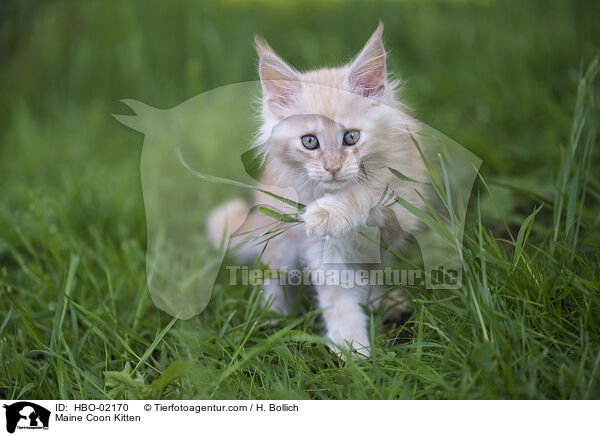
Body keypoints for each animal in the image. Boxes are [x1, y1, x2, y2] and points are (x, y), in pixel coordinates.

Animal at [209, 23, 424, 358]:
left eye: (351, 137)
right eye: (310, 142)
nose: (333, 168)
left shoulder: (403, 196)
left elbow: (367, 192)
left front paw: (328, 212)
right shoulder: (319, 249)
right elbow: (337, 298)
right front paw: (352, 347)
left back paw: (384, 302)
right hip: (278, 242)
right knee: (270, 273)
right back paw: (273, 316)